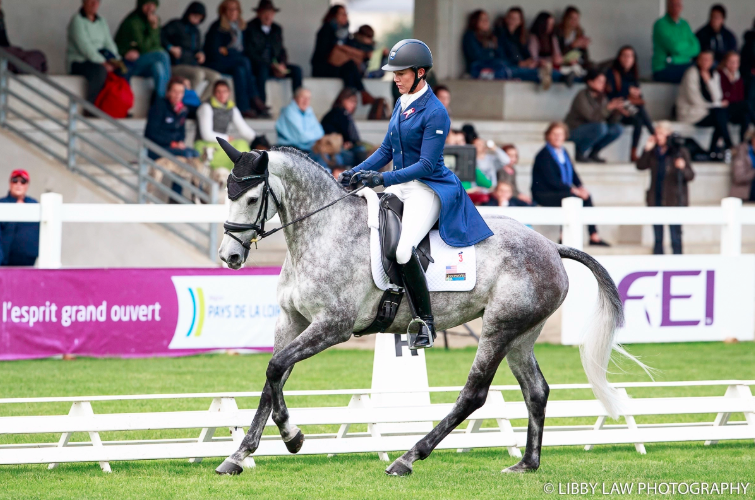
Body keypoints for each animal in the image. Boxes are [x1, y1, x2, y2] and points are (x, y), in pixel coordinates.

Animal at [216, 146, 648, 476]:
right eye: (226, 195)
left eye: (251, 199)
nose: (229, 257)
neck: (323, 231)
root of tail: (551, 246)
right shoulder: (293, 321)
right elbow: (272, 378)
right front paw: (239, 455)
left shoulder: (332, 326)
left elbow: (275, 368)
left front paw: (293, 436)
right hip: (521, 334)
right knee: (536, 390)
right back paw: (526, 463)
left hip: (498, 328)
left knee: (474, 394)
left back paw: (407, 458)